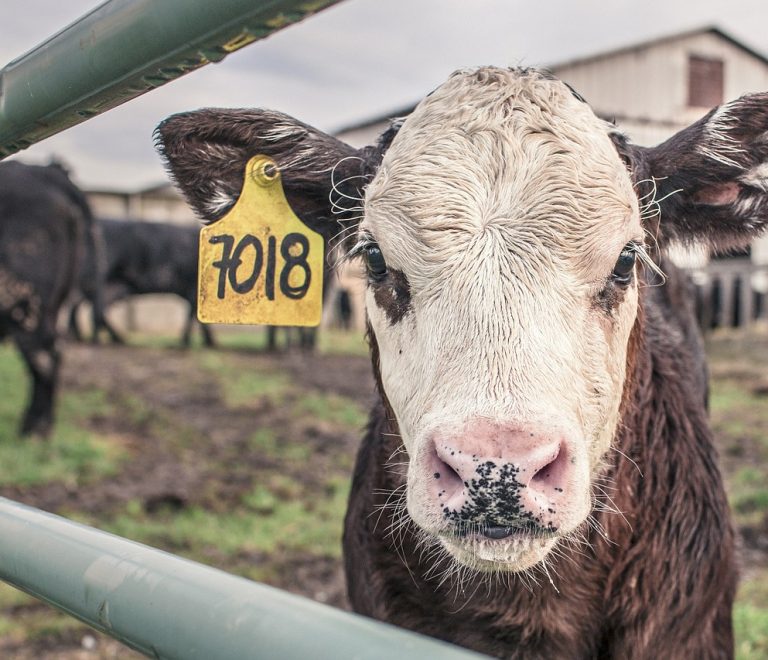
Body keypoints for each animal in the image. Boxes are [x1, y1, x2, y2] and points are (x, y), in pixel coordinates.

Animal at [68, 218, 214, 348]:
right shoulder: (193, 288)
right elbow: (193, 315)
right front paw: (193, 342)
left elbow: (194, 315)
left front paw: (205, 342)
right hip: (98, 280)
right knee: (92, 309)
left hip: (110, 286)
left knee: (88, 307)